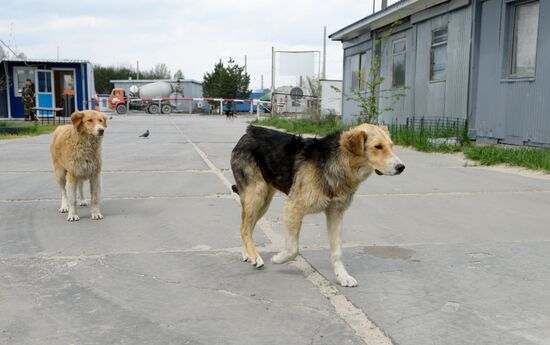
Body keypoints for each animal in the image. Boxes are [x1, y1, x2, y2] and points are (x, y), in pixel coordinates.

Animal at [231, 123, 408, 284]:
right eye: (378, 146)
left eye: (391, 146)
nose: (401, 167)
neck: (342, 163)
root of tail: (248, 132)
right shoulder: (293, 207)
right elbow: (293, 248)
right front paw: (278, 258)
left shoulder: (336, 213)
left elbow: (337, 251)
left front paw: (342, 277)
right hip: (256, 195)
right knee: (244, 227)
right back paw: (255, 257)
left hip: (264, 200)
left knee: (247, 226)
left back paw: (249, 254)